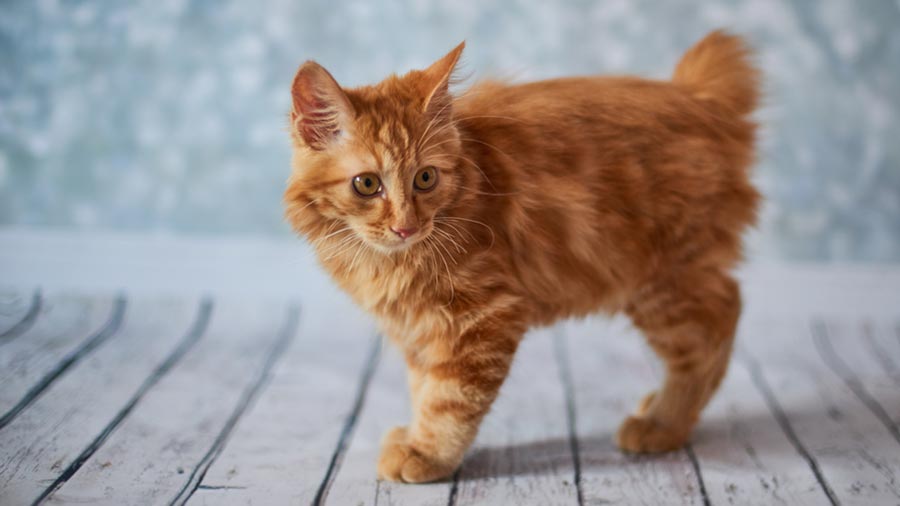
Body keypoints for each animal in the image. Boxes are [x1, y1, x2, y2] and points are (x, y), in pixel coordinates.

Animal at [286, 30, 760, 482]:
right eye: (367, 184)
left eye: (425, 178)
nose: (407, 226)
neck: (389, 260)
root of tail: (697, 96)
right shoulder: (420, 325)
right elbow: (423, 386)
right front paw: (414, 435)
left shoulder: (483, 316)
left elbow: (450, 400)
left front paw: (428, 453)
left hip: (660, 282)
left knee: (719, 321)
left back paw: (664, 423)